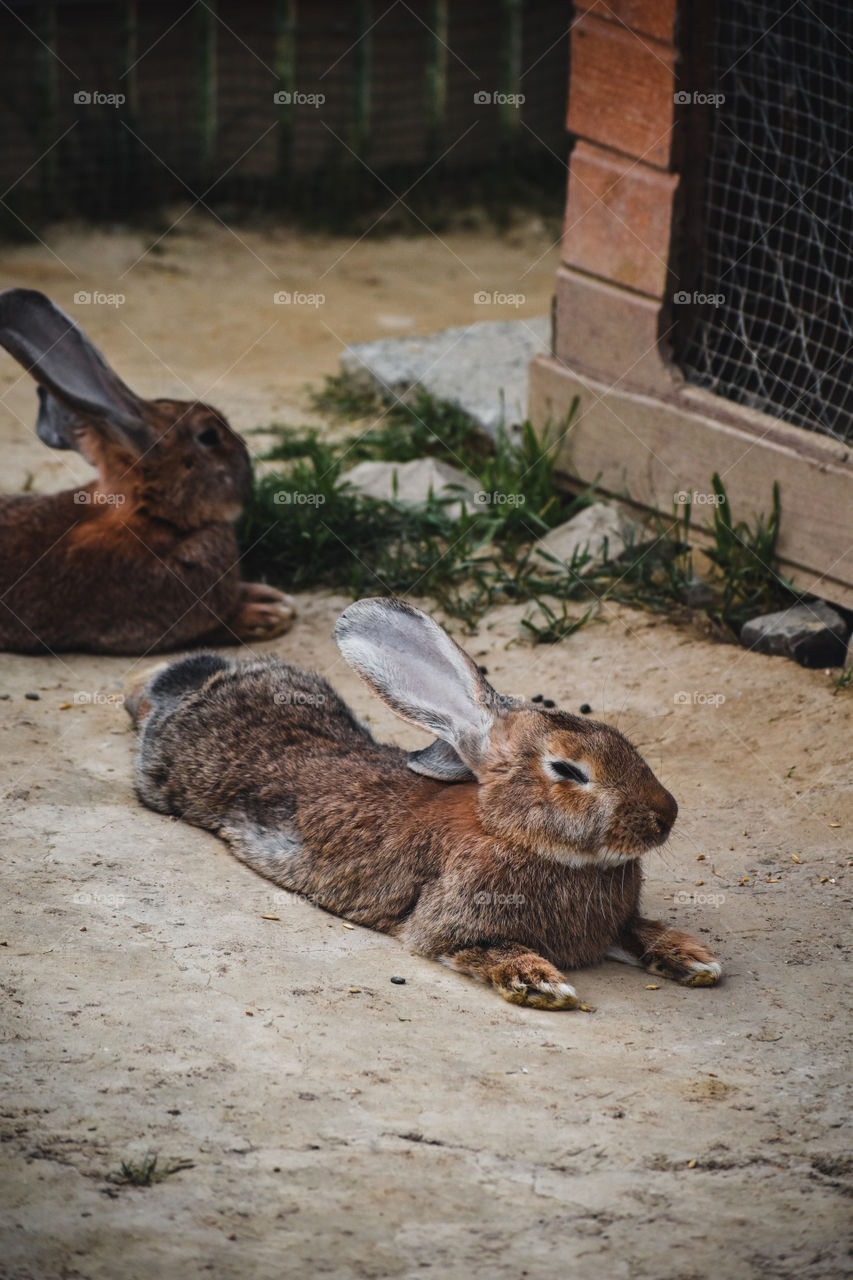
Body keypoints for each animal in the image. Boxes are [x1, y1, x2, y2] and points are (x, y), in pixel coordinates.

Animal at [126, 596, 722, 1008]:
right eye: (568, 771)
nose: (665, 817)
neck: (509, 831)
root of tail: (210, 685)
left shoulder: (615, 923)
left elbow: (638, 931)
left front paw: (694, 959)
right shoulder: (448, 924)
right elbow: (477, 947)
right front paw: (541, 983)